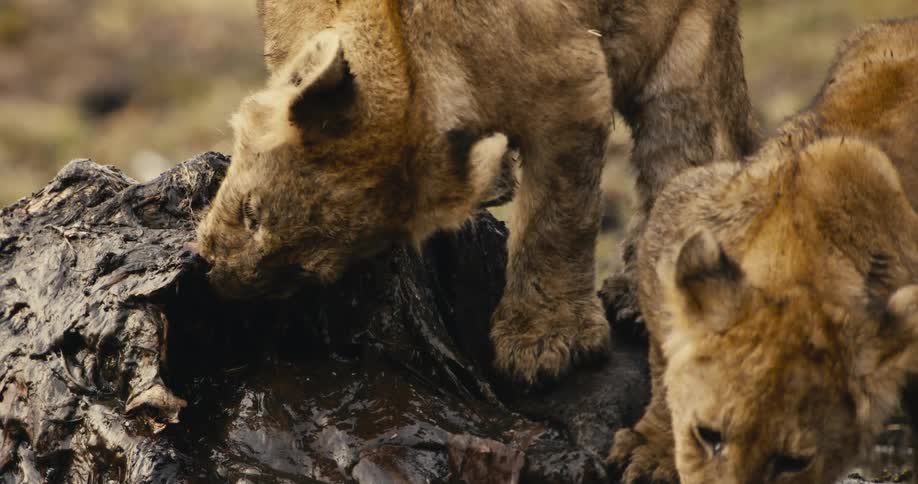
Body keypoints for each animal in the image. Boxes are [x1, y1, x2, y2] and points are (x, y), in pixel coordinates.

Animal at [195, 0, 758, 384]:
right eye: (251, 214)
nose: (221, 284)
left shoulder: (574, 86)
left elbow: (559, 218)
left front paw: (545, 339)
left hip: (683, 56)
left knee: (680, 157)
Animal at [609, 18, 918, 483]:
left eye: (792, 462)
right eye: (708, 434)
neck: (801, 254)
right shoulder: (678, 211)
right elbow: (665, 352)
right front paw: (656, 448)